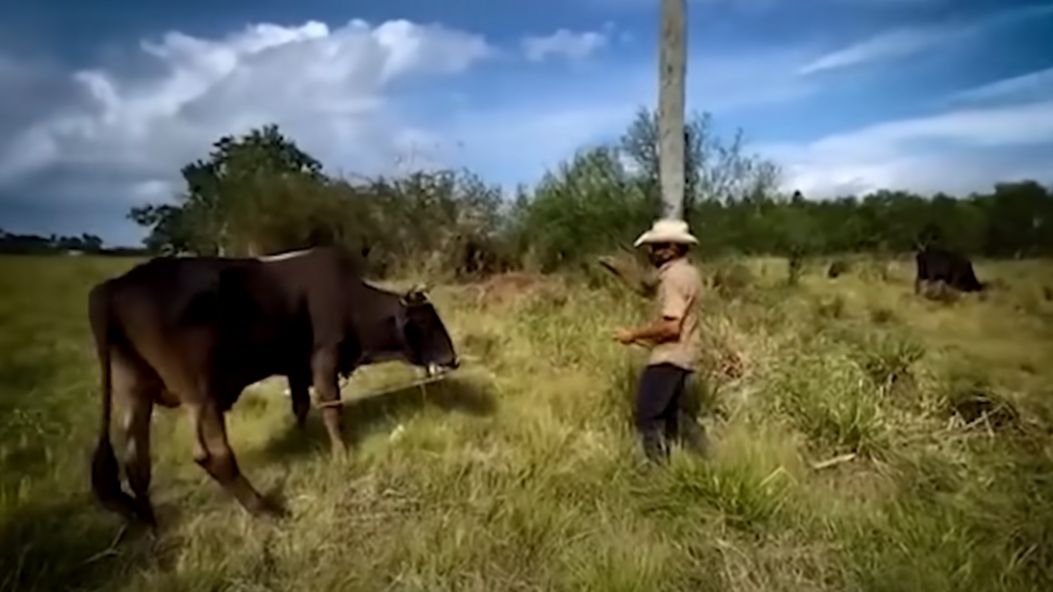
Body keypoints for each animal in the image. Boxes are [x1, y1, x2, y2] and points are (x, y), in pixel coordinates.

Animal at [86, 246, 457, 522]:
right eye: (426, 322)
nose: (453, 359)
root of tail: (114, 287)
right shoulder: (323, 358)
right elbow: (331, 409)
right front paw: (342, 454)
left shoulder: (295, 366)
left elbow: (301, 405)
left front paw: (302, 439)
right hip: (200, 393)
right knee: (212, 455)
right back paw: (265, 510)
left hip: (134, 391)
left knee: (136, 463)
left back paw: (151, 525)